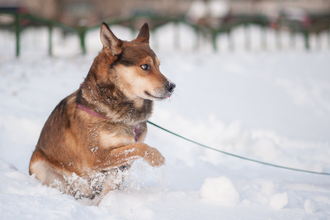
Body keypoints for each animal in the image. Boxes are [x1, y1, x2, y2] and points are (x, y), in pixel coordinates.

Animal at [29, 22, 175, 203]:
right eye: (145, 66)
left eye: (159, 66)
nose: (172, 86)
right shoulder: (96, 156)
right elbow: (140, 147)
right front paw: (156, 157)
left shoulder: (120, 166)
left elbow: (127, 157)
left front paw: (106, 203)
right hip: (39, 166)